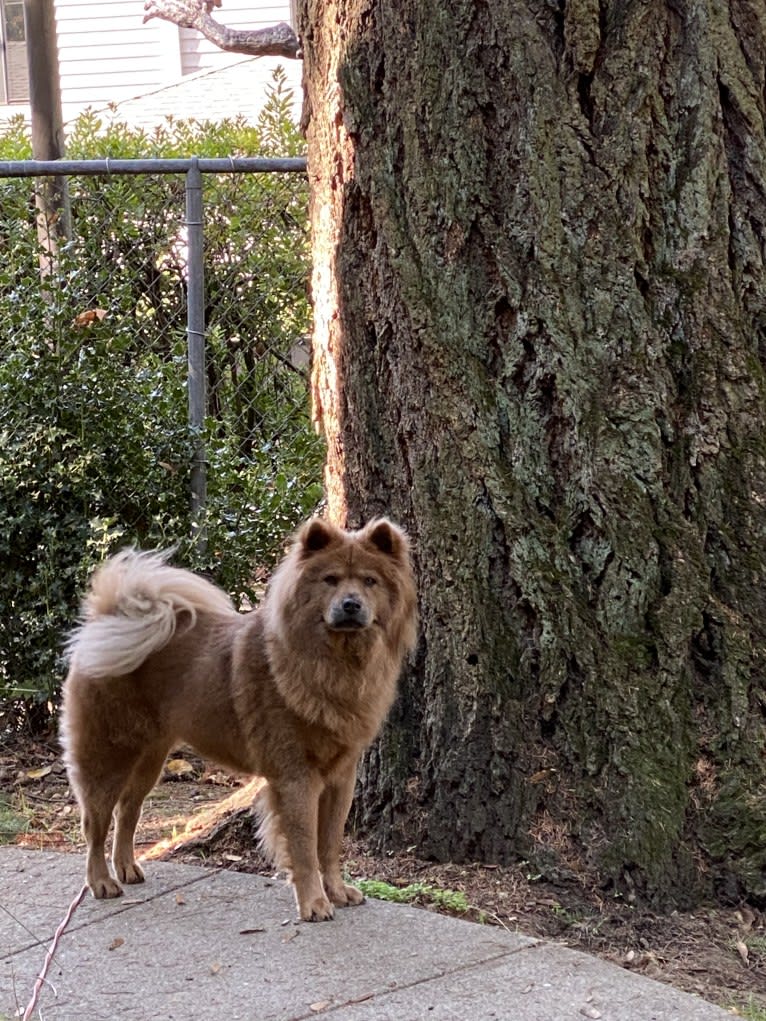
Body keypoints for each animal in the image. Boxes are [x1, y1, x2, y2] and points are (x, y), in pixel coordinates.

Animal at [62, 514, 416, 922]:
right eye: (330, 579)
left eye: (370, 581)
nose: (351, 604)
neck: (333, 664)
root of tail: (106, 620)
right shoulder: (296, 777)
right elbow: (304, 848)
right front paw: (314, 903)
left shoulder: (341, 777)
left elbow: (329, 844)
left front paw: (337, 891)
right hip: (109, 754)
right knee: (95, 823)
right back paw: (101, 882)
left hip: (150, 758)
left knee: (128, 811)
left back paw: (127, 868)